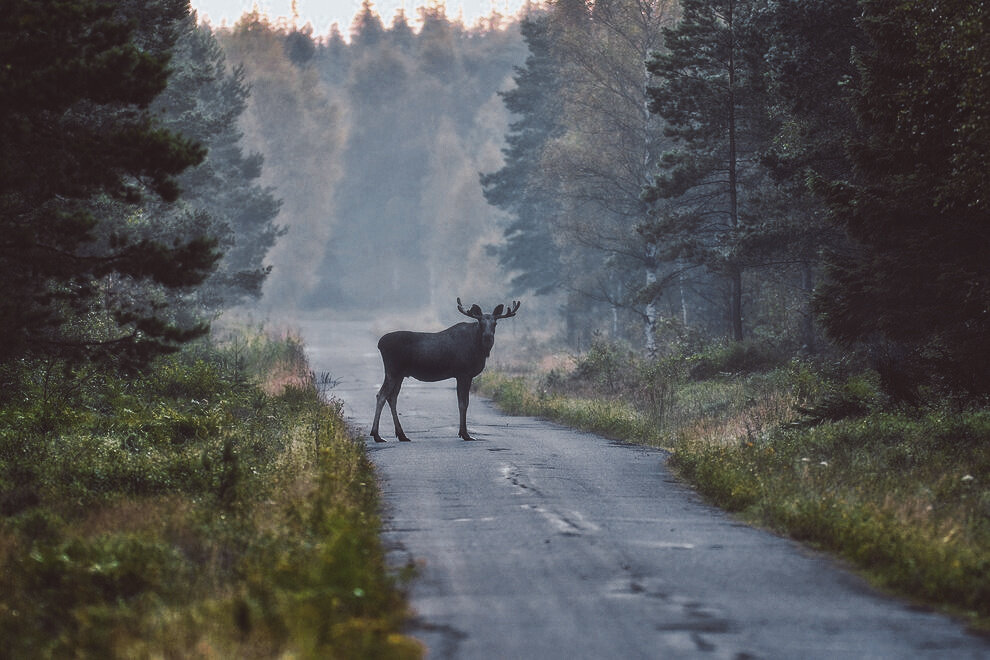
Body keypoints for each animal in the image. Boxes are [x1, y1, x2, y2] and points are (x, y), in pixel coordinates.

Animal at [372, 300, 524, 444]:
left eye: (495, 323)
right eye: (480, 322)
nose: (488, 337)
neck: (479, 350)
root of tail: (380, 343)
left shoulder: (462, 375)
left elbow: (463, 402)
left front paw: (463, 433)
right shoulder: (464, 373)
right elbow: (463, 403)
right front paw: (465, 434)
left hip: (400, 374)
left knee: (392, 397)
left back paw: (401, 435)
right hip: (392, 371)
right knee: (381, 395)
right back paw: (377, 435)